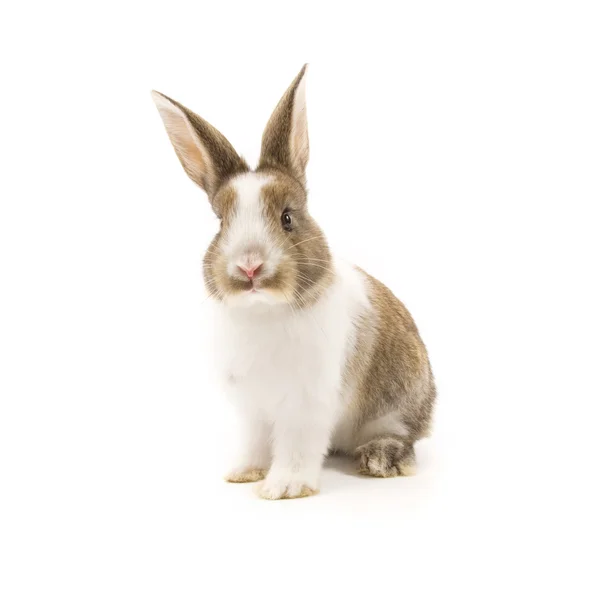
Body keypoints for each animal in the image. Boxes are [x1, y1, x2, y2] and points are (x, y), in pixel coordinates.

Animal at [152, 64, 436, 502]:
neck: (263, 312)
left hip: (399, 400)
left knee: (402, 436)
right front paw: (244, 473)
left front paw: (284, 487)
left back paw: (379, 458)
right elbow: (254, 443)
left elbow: (296, 447)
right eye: (221, 223)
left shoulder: (306, 403)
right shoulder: (251, 406)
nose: (249, 267)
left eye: (287, 218)